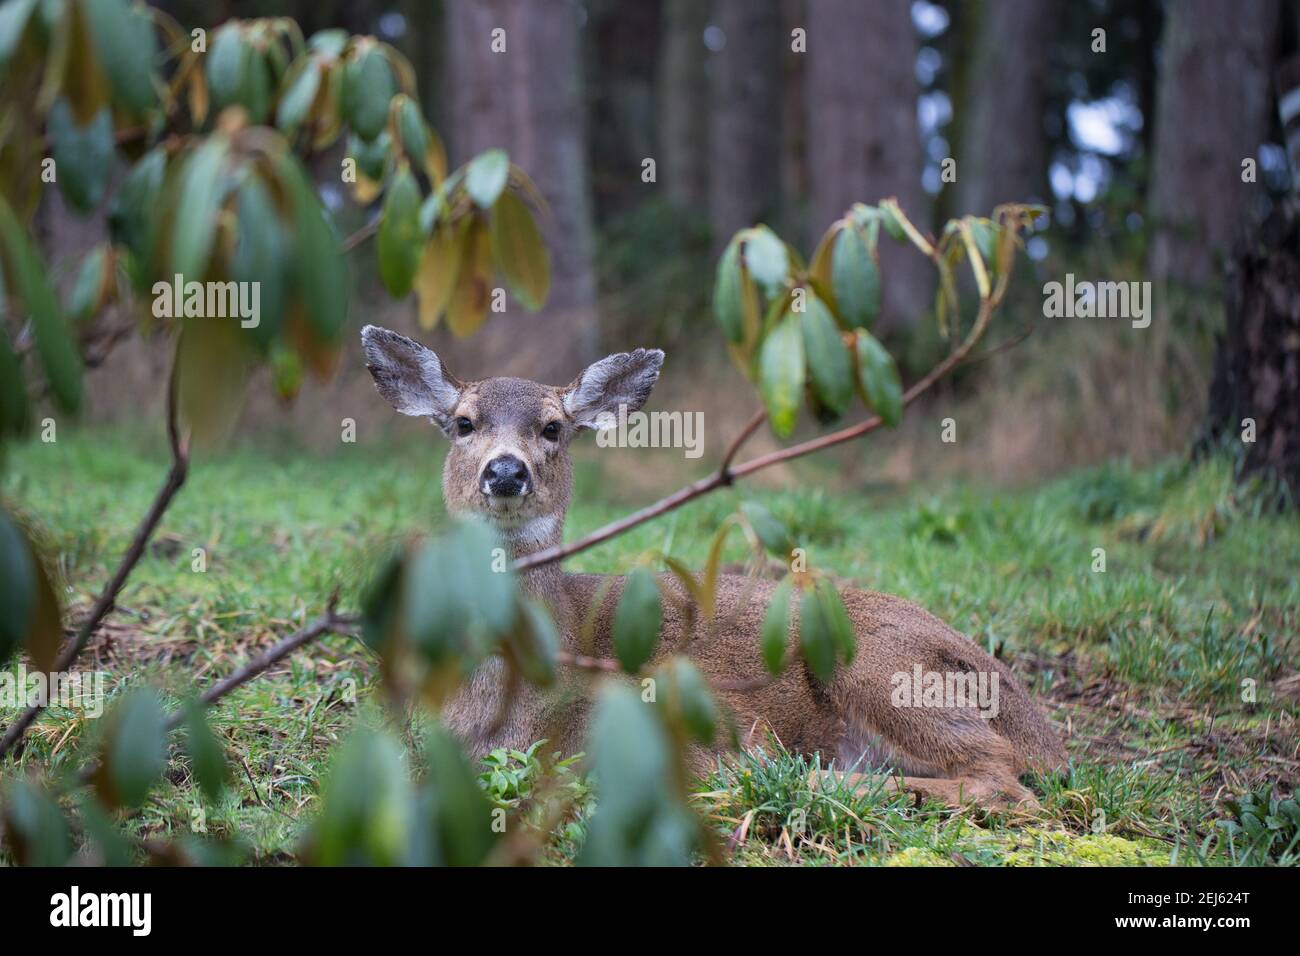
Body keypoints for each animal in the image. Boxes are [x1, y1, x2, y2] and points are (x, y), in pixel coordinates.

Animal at [361, 324, 1068, 808]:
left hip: (882, 665)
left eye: (555, 428)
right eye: (462, 423)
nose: (505, 471)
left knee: (1004, 780)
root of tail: (1043, 729)